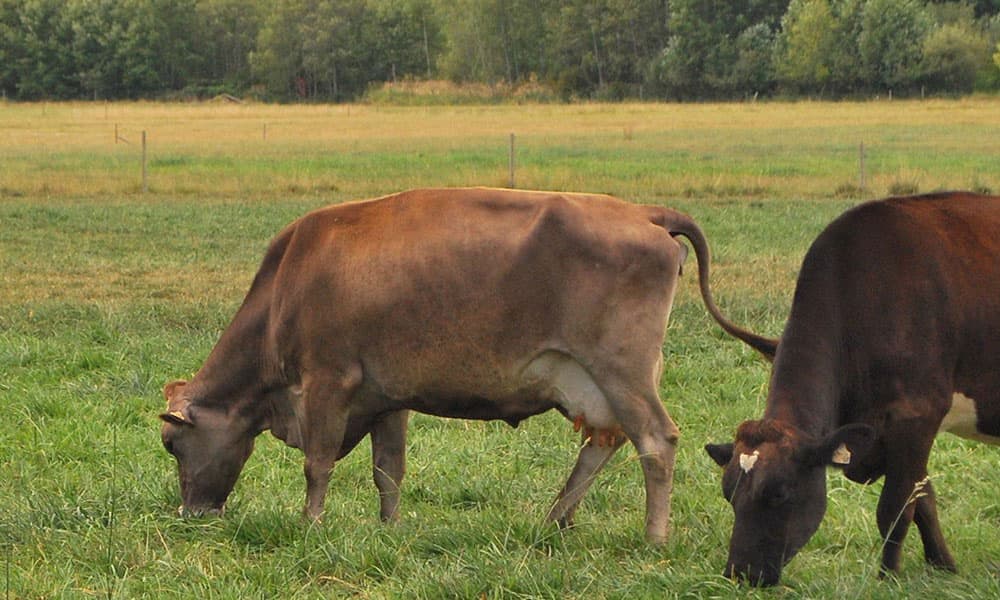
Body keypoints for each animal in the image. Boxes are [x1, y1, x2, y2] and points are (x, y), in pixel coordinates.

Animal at [158, 186, 756, 540]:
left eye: (173, 443)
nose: (191, 513)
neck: (290, 279)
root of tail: (643, 213)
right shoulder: (386, 398)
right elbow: (388, 470)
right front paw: (390, 528)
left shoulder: (328, 381)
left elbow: (318, 462)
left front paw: (310, 524)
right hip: (593, 382)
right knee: (602, 442)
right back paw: (553, 520)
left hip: (621, 371)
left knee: (656, 440)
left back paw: (654, 537)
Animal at [704, 192, 1000, 584]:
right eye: (729, 493)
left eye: (779, 493)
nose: (740, 573)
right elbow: (923, 499)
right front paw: (943, 565)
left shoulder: (917, 415)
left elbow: (895, 507)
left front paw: (888, 577)